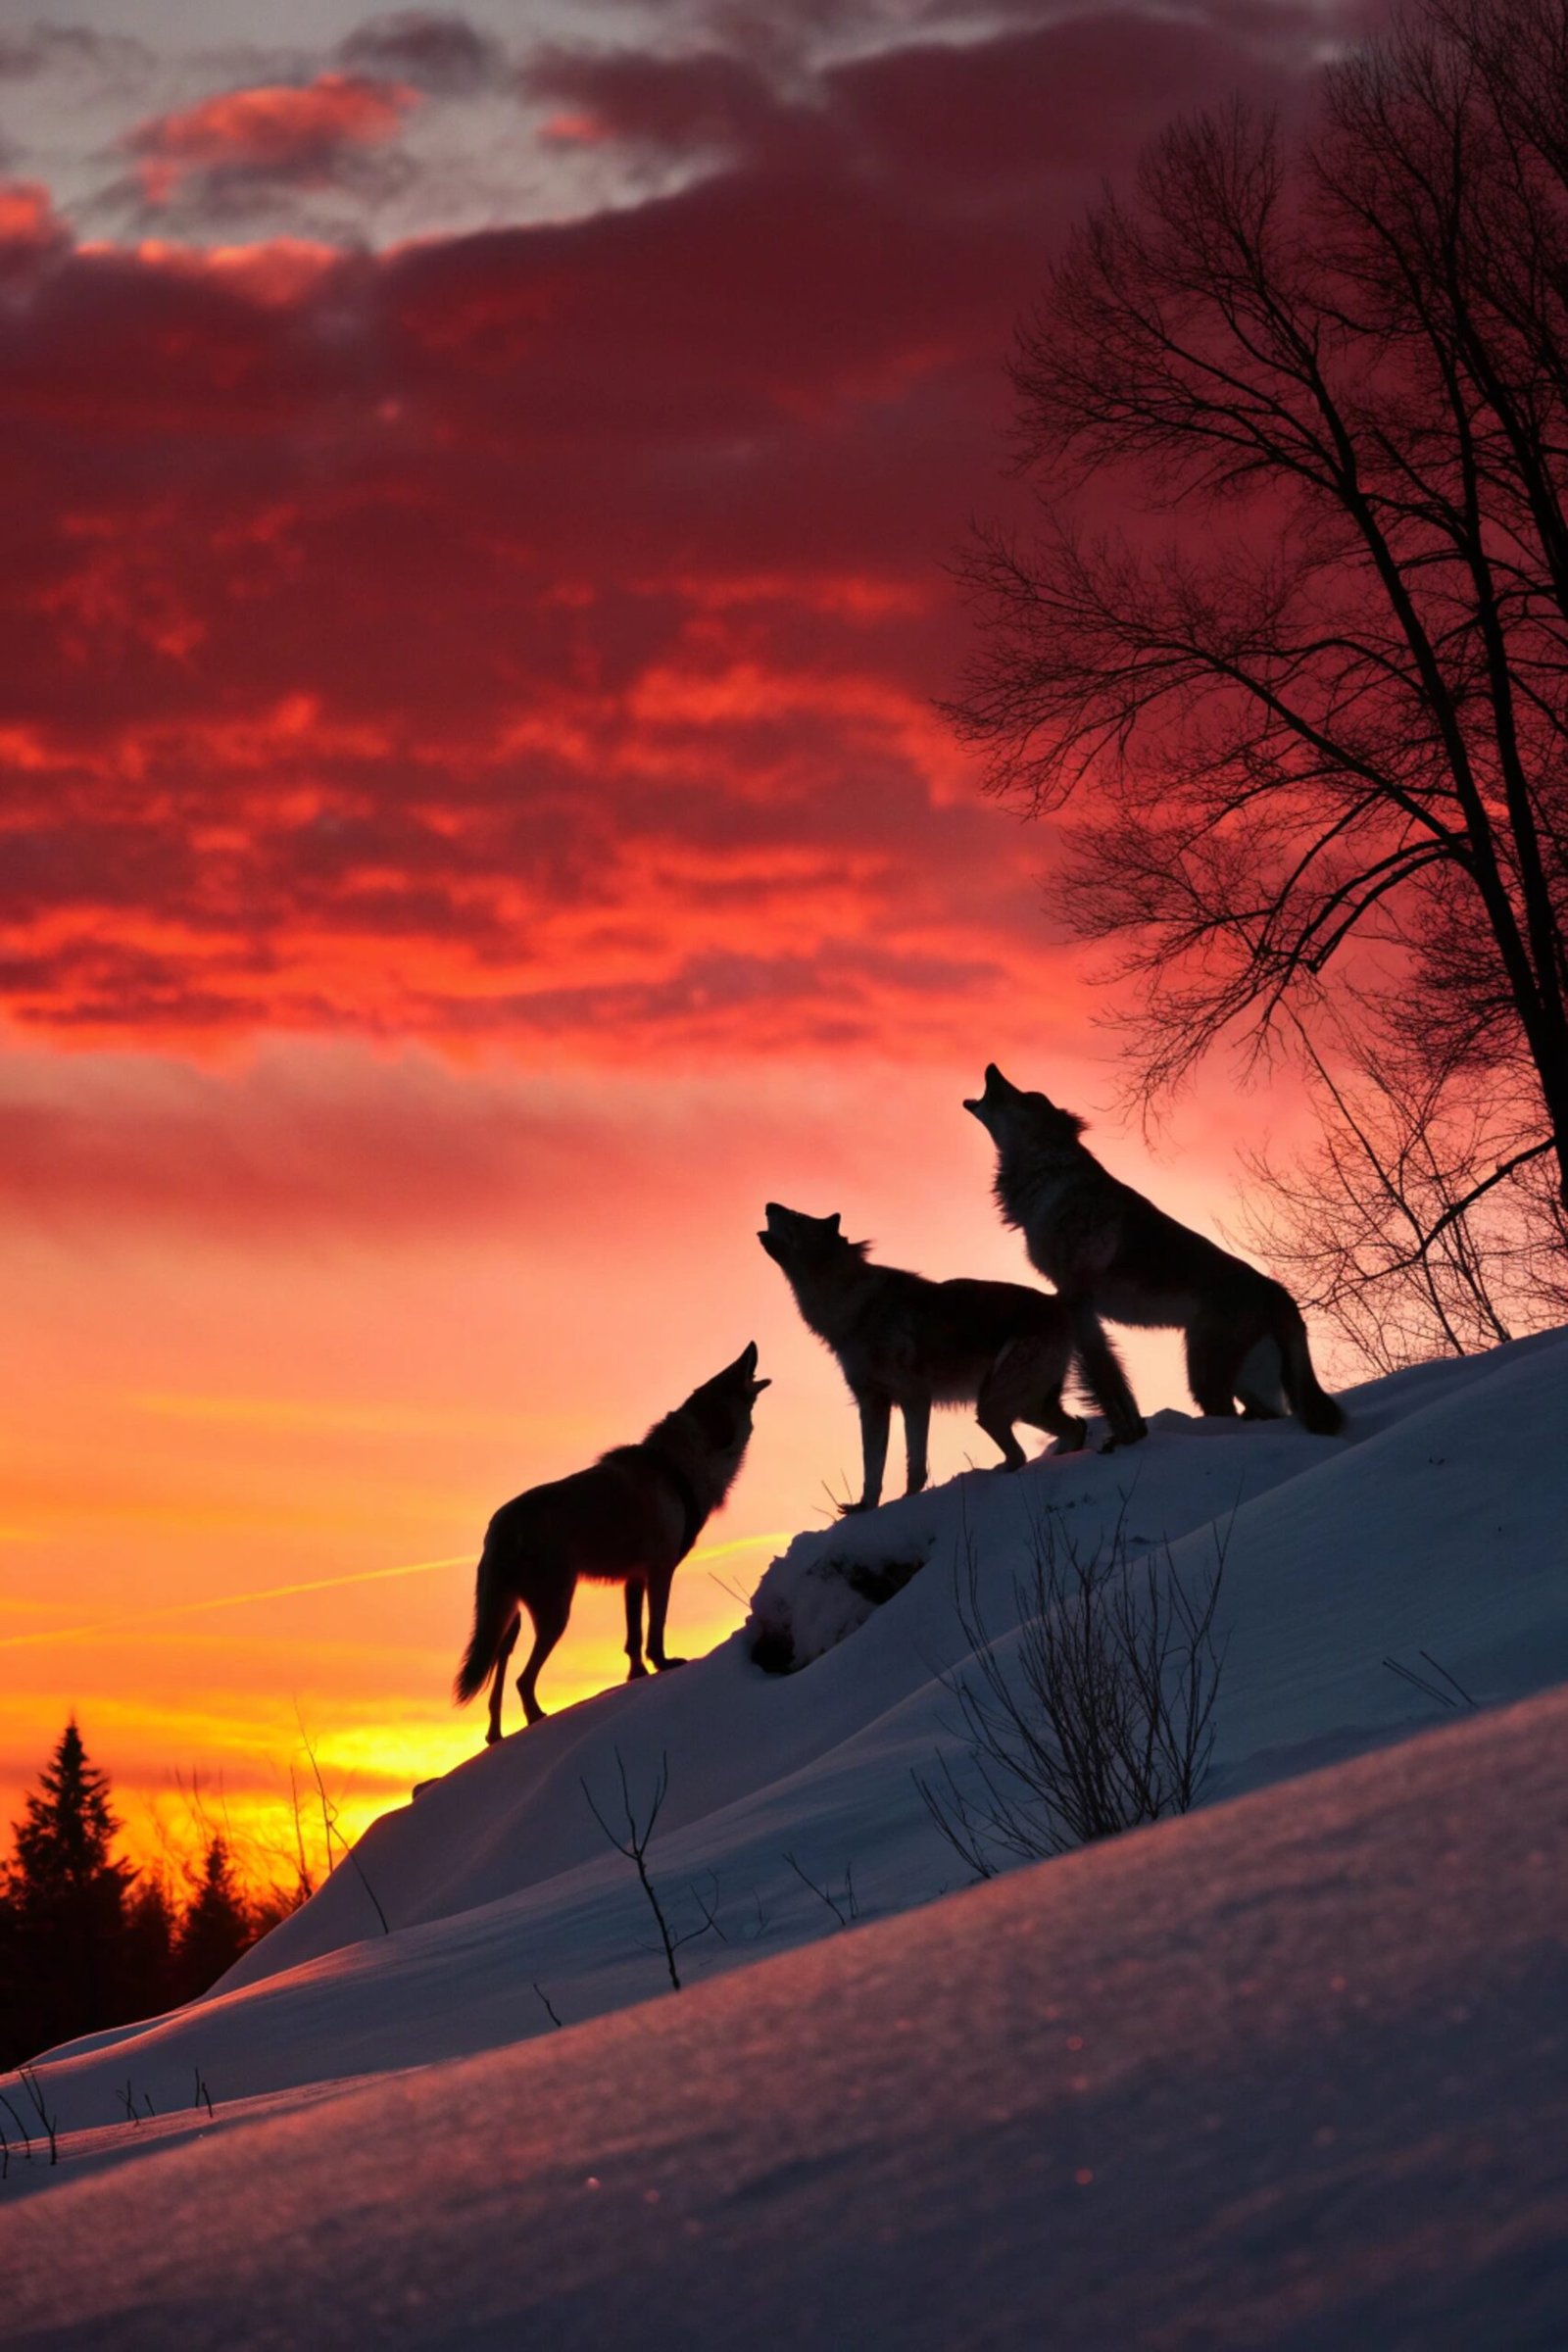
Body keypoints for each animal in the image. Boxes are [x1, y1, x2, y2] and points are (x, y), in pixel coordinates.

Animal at [454, 1343, 770, 1741]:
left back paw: (497, 1734)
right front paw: (664, 1664)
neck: (679, 1466)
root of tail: (501, 1525)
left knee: (499, 1674)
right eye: (730, 1373)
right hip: (555, 1614)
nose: (751, 1345)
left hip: (509, 1620)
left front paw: (636, 1676)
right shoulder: (660, 1571)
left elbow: (632, 1641)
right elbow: (654, 1632)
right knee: (523, 1680)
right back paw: (536, 1717)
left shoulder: (633, 1580)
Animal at [759, 1201, 1145, 1513]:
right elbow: (872, 1467)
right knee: (1074, 1428)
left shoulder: (915, 1398)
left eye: (795, 1216)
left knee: (1024, 1452)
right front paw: (864, 1509)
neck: (853, 1308)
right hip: (1025, 1408)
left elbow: (914, 1464)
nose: (769, 1204)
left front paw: (907, 1502)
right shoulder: (872, 1403)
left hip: (992, 1408)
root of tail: (1056, 1301)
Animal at [964, 1065, 1344, 1434]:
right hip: (1245, 1382)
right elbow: (1116, 1385)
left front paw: (1125, 1438)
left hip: (1205, 1375)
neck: (1049, 1174)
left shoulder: (1075, 1298)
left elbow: (1106, 1384)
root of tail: (1274, 1289)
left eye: (1028, 1097)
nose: (992, 1067)